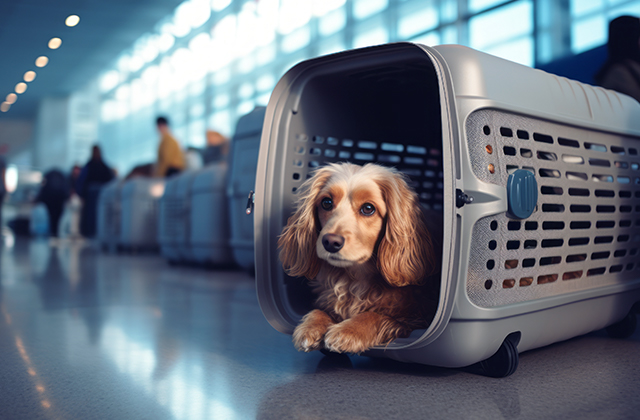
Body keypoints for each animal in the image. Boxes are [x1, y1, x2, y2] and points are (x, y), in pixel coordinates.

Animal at [280, 162, 440, 352]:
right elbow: (319, 310)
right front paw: (311, 326)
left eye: (368, 208)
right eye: (326, 203)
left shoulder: (414, 317)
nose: (330, 242)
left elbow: (374, 316)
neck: (354, 278)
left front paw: (348, 331)